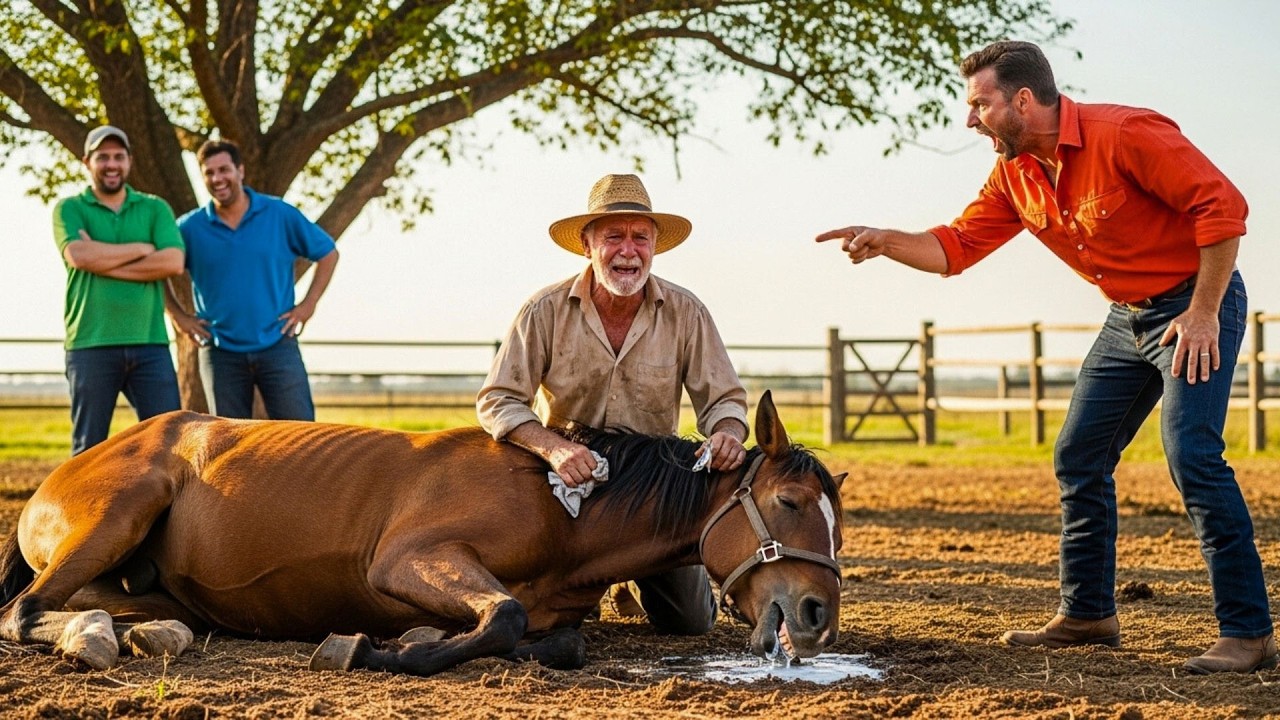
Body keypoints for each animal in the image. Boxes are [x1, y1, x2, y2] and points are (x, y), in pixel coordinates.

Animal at [0, 390, 845, 676]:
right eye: (791, 501)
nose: (817, 615)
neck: (562, 507)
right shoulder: (412, 560)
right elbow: (502, 617)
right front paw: (369, 649)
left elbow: (554, 640)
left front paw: (412, 639)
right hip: (121, 511)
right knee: (23, 612)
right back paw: (91, 638)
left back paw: (145, 633)